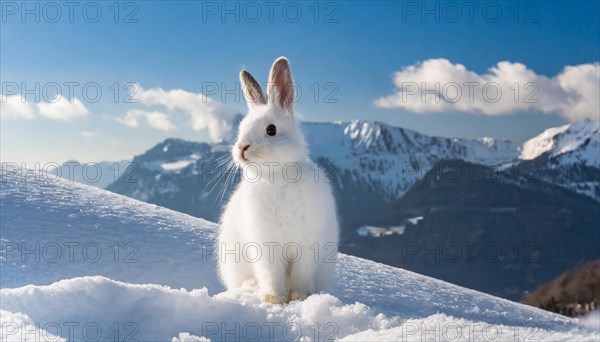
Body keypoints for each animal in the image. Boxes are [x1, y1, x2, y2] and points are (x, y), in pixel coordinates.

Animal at [217, 56, 340, 304]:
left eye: (271, 130)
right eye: (242, 128)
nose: (241, 149)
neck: (276, 176)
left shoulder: (307, 244)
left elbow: (302, 274)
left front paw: (300, 297)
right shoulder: (265, 246)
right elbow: (271, 273)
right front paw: (274, 299)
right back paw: (252, 285)